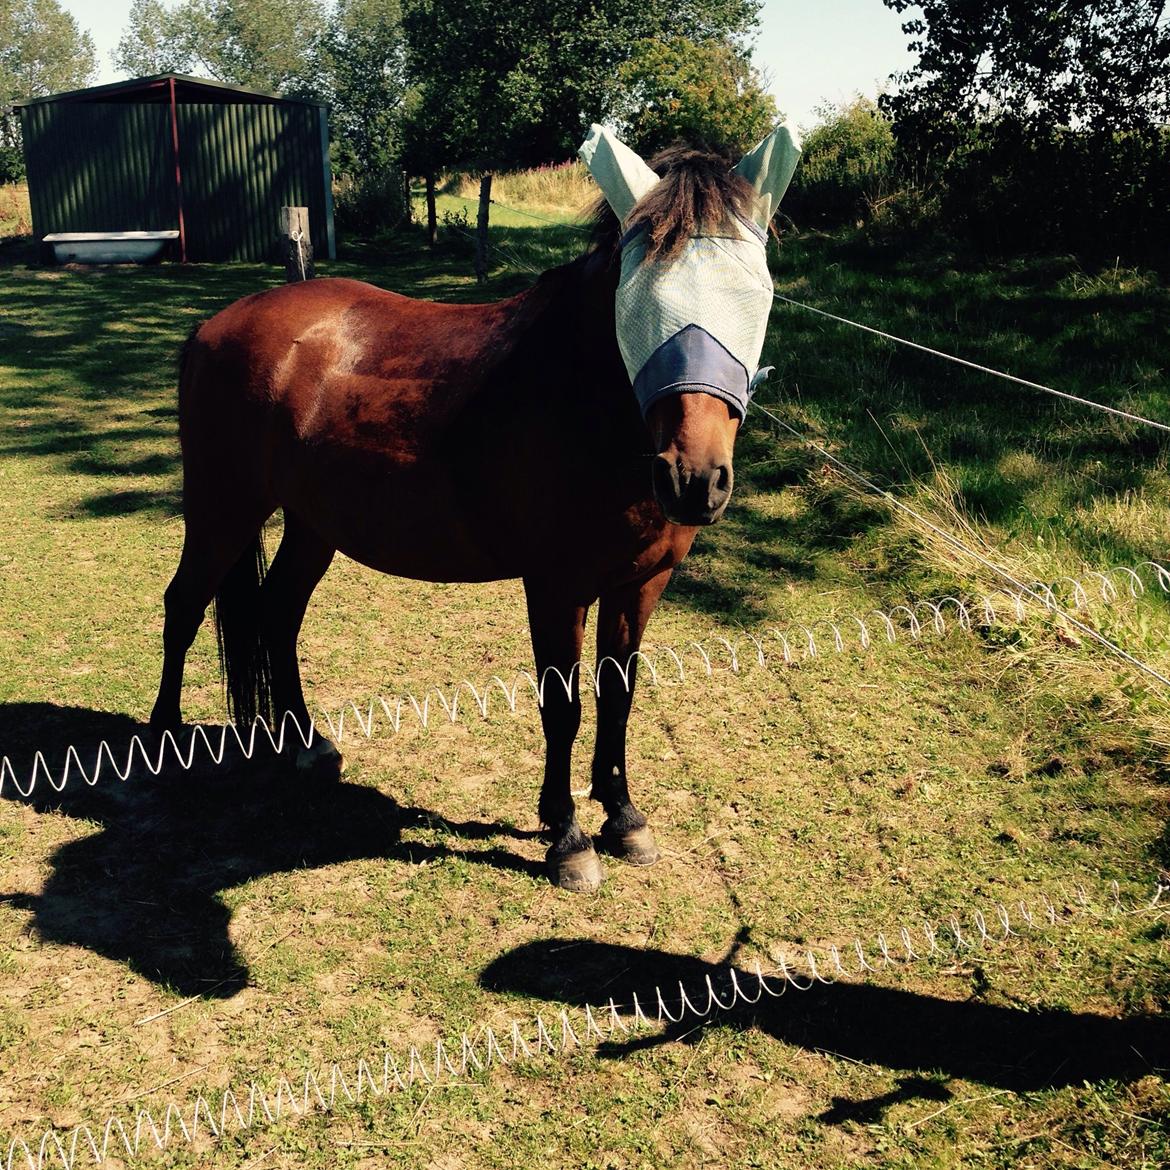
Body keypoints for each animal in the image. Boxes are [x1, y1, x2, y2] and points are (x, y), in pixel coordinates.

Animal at [150, 146, 772, 893]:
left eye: (757, 293)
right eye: (638, 300)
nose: (694, 479)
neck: (579, 399)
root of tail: (213, 327)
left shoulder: (641, 584)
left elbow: (616, 697)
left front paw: (623, 817)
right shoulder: (556, 587)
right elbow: (563, 706)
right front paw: (566, 837)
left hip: (311, 523)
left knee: (278, 612)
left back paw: (304, 743)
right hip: (224, 506)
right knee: (184, 605)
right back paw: (162, 744)